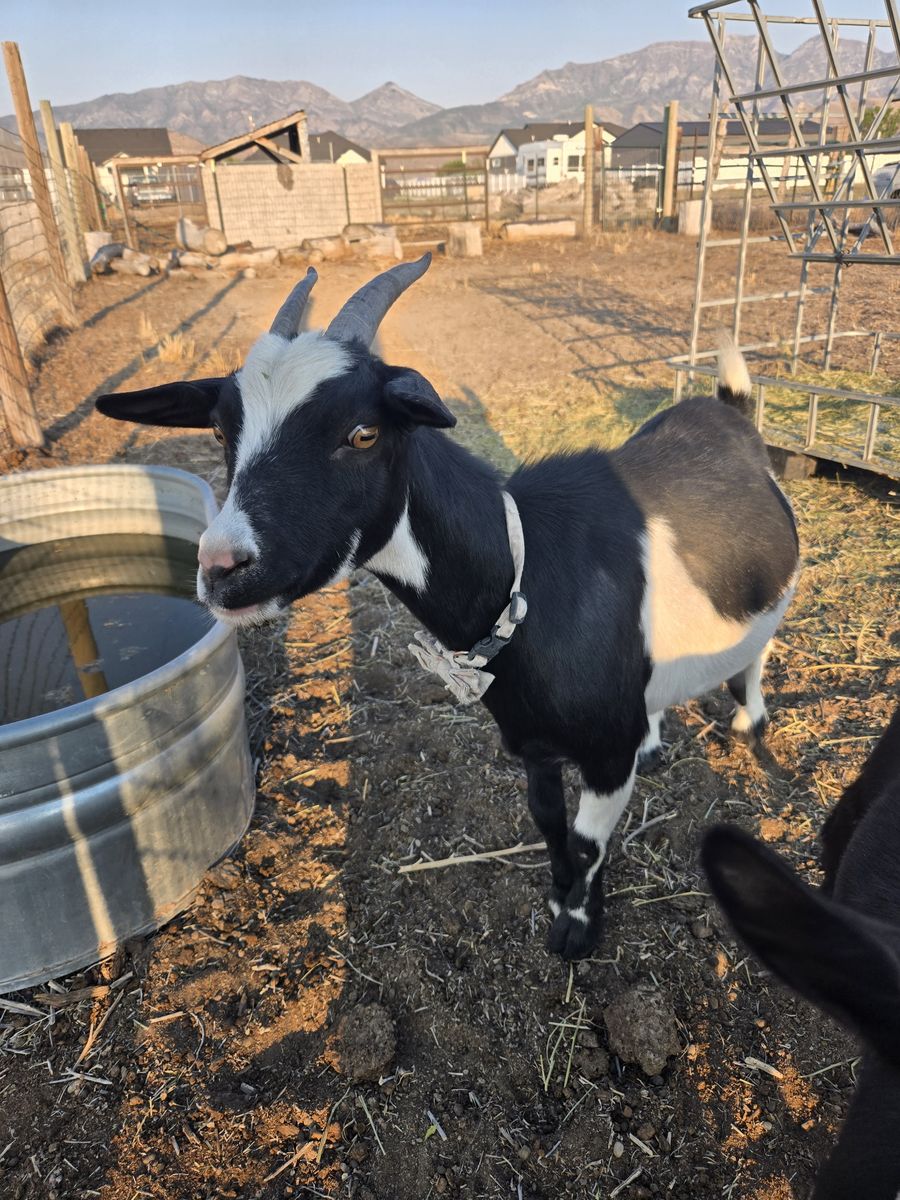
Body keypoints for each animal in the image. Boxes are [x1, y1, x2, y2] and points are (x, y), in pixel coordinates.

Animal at [96, 254, 799, 960]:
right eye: (220, 429)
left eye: (363, 432)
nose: (221, 569)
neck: (528, 574)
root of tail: (729, 411)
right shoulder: (530, 741)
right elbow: (549, 823)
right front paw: (560, 896)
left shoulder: (603, 753)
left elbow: (586, 839)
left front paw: (578, 927)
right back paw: (656, 739)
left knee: (756, 650)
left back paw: (749, 721)